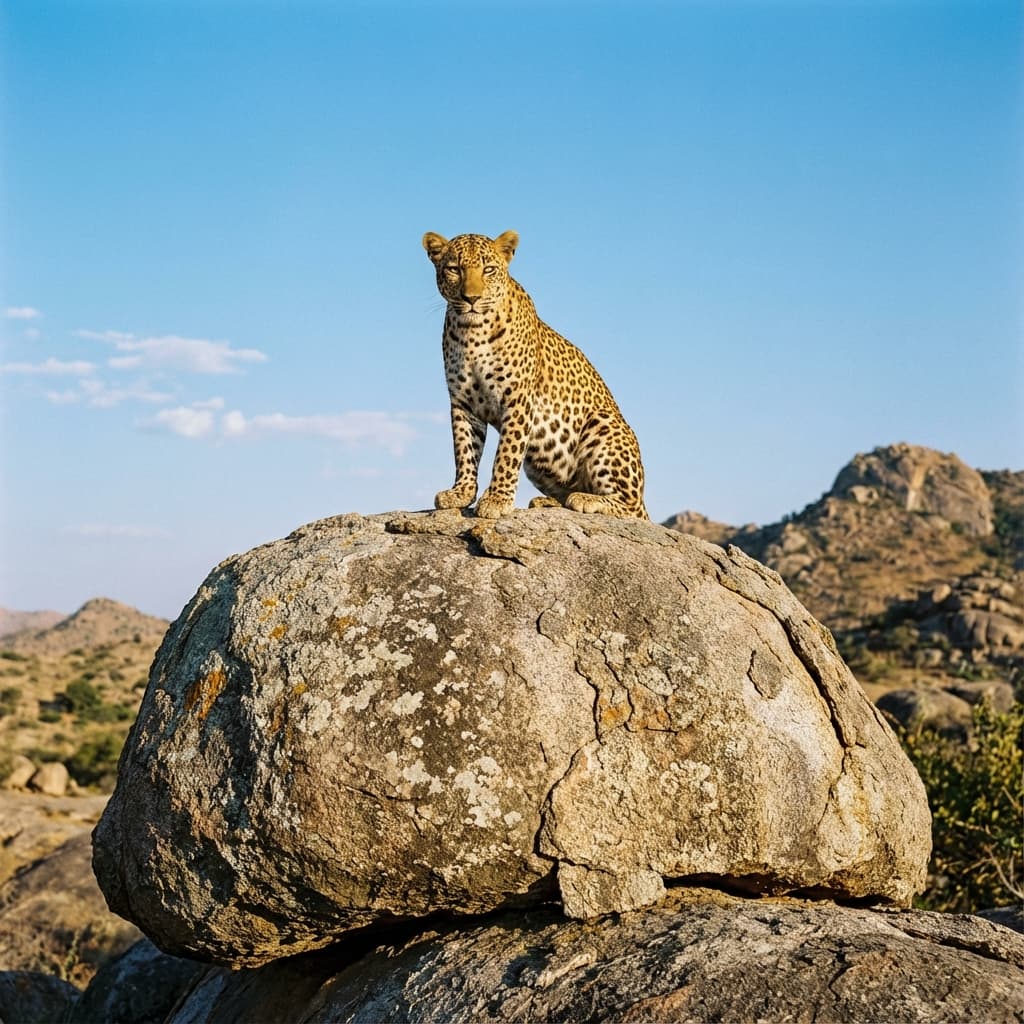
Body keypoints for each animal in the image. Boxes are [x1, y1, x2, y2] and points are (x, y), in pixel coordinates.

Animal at [423, 229, 648, 521]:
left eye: (488, 269)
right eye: (454, 269)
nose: (471, 299)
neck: (471, 332)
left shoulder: (518, 399)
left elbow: (506, 453)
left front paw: (496, 500)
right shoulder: (463, 402)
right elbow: (464, 450)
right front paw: (461, 493)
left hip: (602, 424)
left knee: (631, 508)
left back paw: (586, 499)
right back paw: (549, 501)